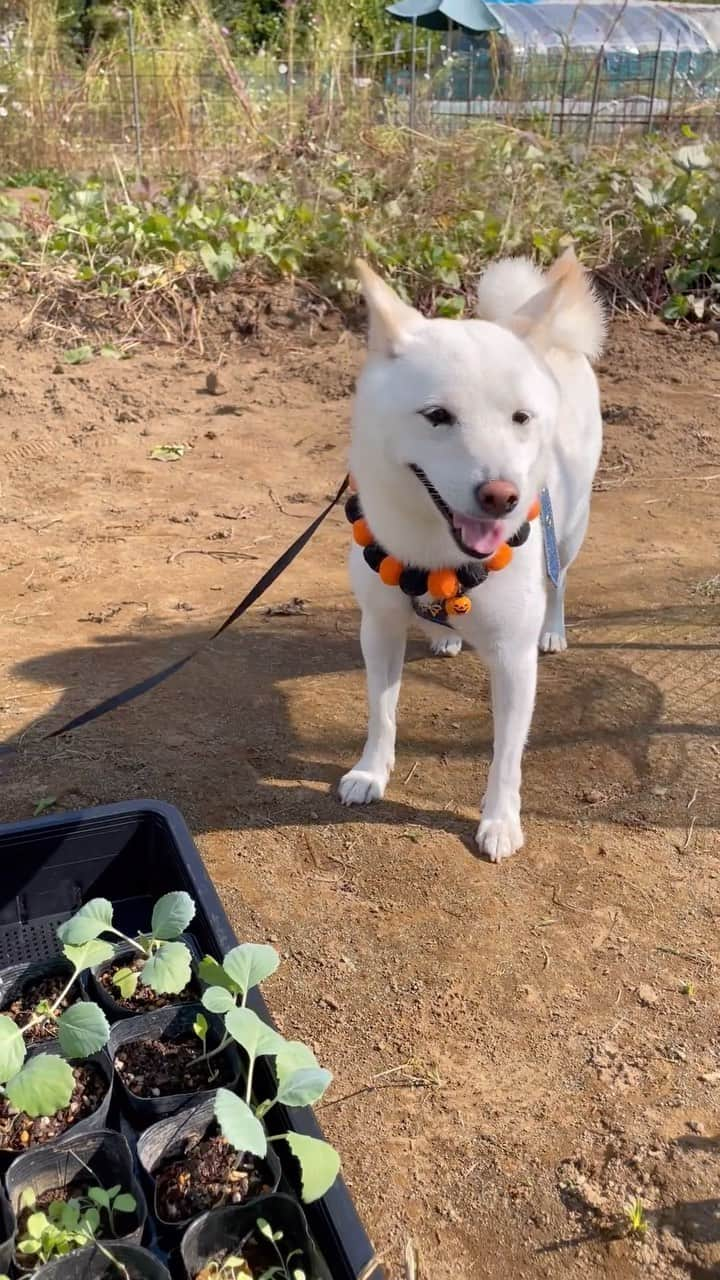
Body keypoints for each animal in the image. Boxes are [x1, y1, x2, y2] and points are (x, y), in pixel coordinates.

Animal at [338, 248, 602, 860]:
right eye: (437, 416)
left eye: (521, 418)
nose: (502, 497)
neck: (433, 552)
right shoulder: (378, 628)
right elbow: (381, 711)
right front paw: (371, 772)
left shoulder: (513, 660)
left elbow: (507, 755)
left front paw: (501, 821)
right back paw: (444, 635)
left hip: (569, 530)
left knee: (560, 578)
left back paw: (553, 628)